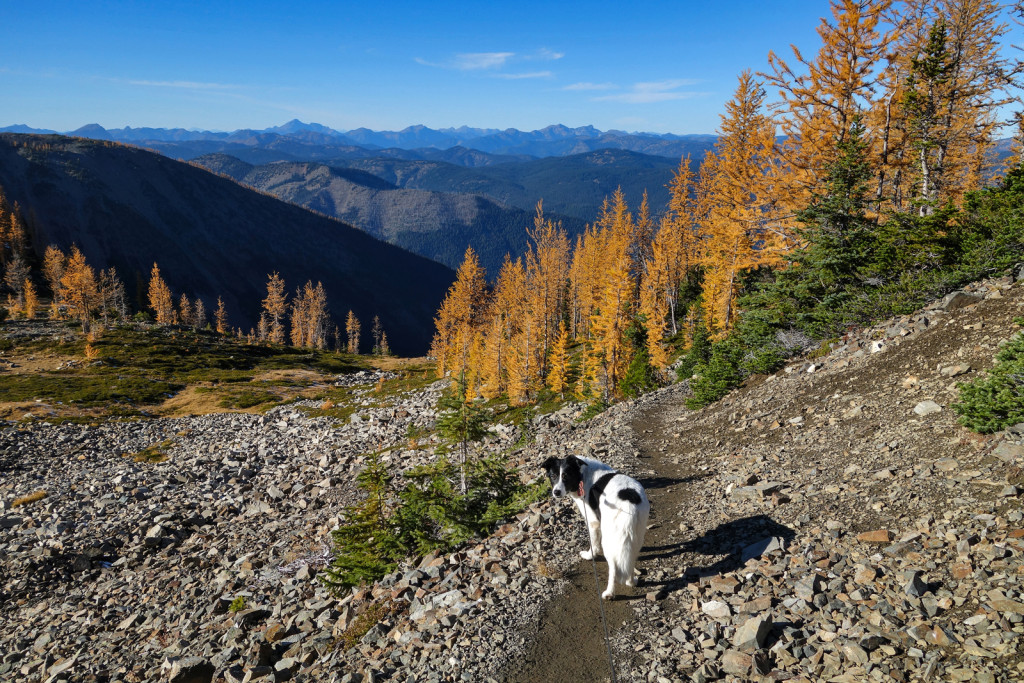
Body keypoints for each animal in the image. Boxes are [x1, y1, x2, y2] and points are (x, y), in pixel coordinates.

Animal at [544, 458, 647, 598]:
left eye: (566, 476)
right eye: (553, 476)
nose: (556, 492)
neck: (582, 475)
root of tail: (629, 504)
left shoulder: (593, 522)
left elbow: (594, 544)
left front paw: (589, 555)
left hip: (609, 539)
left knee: (613, 567)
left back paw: (609, 593)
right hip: (637, 535)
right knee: (631, 560)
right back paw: (631, 582)